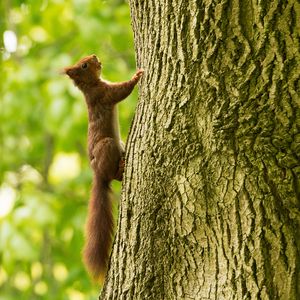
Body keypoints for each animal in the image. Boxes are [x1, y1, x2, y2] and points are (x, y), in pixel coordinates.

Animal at [63, 54, 143, 282]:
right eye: (84, 65)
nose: (95, 56)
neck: (90, 86)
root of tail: (97, 173)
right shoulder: (104, 94)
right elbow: (121, 91)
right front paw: (137, 76)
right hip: (107, 146)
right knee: (113, 175)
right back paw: (121, 168)